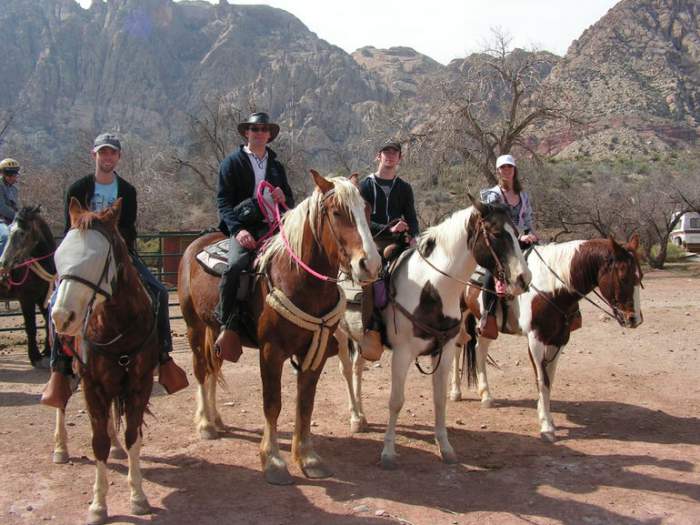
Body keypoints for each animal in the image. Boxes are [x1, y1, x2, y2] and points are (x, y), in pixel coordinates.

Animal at [0, 203, 56, 366]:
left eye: (22, 233)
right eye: (10, 231)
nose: (4, 263)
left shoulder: (43, 296)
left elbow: (47, 322)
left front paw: (47, 351)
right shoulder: (26, 298)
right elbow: (31, 327)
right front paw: (34, 356)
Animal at [51, 198, 159, 524]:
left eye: (98, 258)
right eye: (60, 254)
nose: (62, 317)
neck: (117, 325)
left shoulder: (139, 383)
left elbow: (133, 435)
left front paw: (138, 497)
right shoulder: (92, 385)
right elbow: (97, 442)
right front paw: (98, 506)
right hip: (66, 366)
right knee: (60, 401)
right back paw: (60, 448)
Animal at [178, 171, 380, 484]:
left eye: (368, 210)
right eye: (337, 212)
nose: (370, 265)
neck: (298, 280)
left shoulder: (316, 351)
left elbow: (305, 403)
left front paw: (308, 457)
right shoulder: (271, 352)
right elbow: (273, 404)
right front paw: (272, 460)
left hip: (214, 331)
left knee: (213, 369)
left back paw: (217, 419)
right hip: (193, 327)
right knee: (201, 370)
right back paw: (205, 424)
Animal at [452, 235, 644, 440]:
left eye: (640, 277)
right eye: (623, 277)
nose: (634, 319)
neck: (551, 288)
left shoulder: (560, 339)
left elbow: (549, 379)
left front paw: (549, 419)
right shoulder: (535, 340)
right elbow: (542, 380)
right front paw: (546, 426)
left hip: (486, 325)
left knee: (479, 349)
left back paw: (486, 395)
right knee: (457, 349)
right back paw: (455, 392)